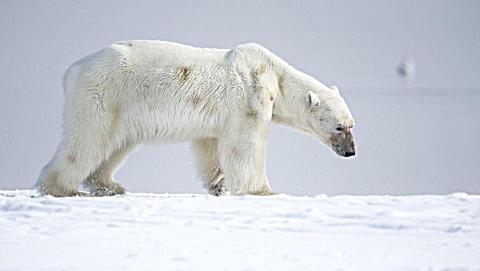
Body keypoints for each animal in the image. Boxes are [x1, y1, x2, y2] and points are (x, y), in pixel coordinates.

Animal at [35, 40, 354, 197]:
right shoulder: (250, 98)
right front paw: (263, 191)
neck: (274, 75)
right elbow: (246, 146)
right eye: (339, 127)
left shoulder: (218, 118)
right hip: (104, 94)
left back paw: (109, 186)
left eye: (353, 125)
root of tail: (72, 70)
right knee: (89, 138)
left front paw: (218, 185)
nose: (351, 152)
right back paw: (61, 188)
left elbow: (209, 145)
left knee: (116, 143)